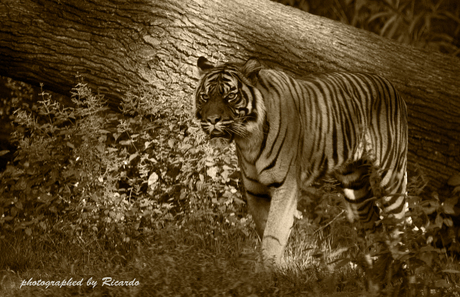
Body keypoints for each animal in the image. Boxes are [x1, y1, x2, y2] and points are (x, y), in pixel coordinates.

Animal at [192, 56, 408, 266]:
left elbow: (274, 234)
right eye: (205, 97)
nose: (212, 120)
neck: (248, 139)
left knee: (401, 226)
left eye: (230, 96)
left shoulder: (285, 185)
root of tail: (390, 84)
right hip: (354, 186)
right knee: (374, 224)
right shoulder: (255, 190)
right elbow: (265, 229)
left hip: (391, 179)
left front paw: (269, 272)